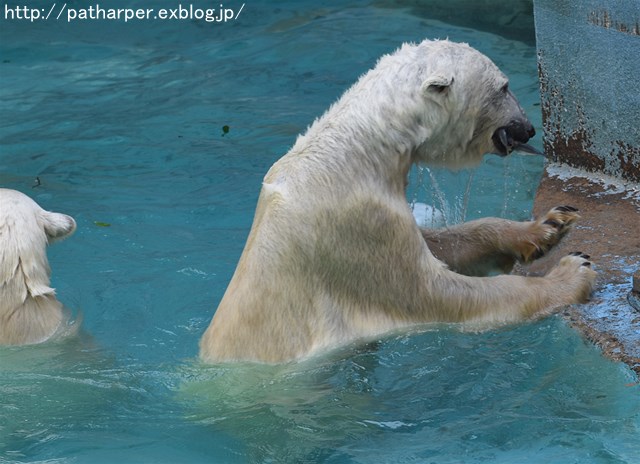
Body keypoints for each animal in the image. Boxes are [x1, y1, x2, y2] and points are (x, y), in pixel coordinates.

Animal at [199, 40, 596, 364]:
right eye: (504, 86)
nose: (527, 129)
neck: (356, 149)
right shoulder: (357, 229)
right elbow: (441, 293)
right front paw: (574, 271)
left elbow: (444, 245)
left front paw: (548, 227)